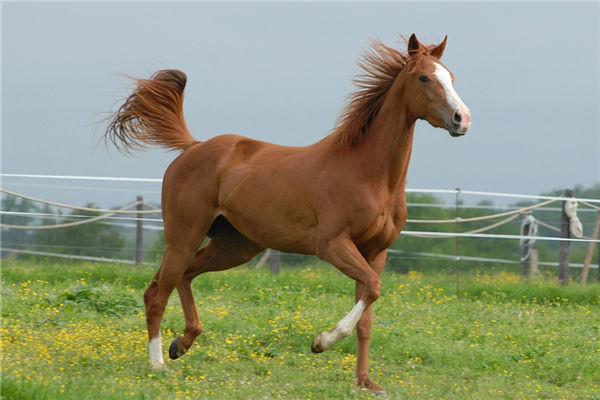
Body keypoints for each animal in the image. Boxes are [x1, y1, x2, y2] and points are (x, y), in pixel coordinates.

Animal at [105, 33, 472, 394]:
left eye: (451, 77)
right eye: (424, 77)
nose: (462, 119)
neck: (369, 174)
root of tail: (193, 147)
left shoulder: (375, 252)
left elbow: (367, 313)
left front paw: (366, 382)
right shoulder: (332, 245)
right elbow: (372, 289)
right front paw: (321, 342)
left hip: (234, 246)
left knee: (184, 277)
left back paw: (181, 344)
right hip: (183, 237)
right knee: (156, 293)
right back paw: (158, 364)